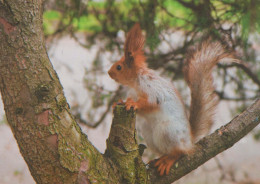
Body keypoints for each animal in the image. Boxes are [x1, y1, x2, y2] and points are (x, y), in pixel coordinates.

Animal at [106, 23, 237, 176]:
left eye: (119, 67)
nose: (109, 73)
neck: (135, 83)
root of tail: (189, 141)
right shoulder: (133, 92)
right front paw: (119, 102)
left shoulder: (153, 90)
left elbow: (148, 103)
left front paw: (133, 104)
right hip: (149, 134)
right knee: (166, 151)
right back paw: (158, 159)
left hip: (168, 131)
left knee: (179, 152)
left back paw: (168, 160)